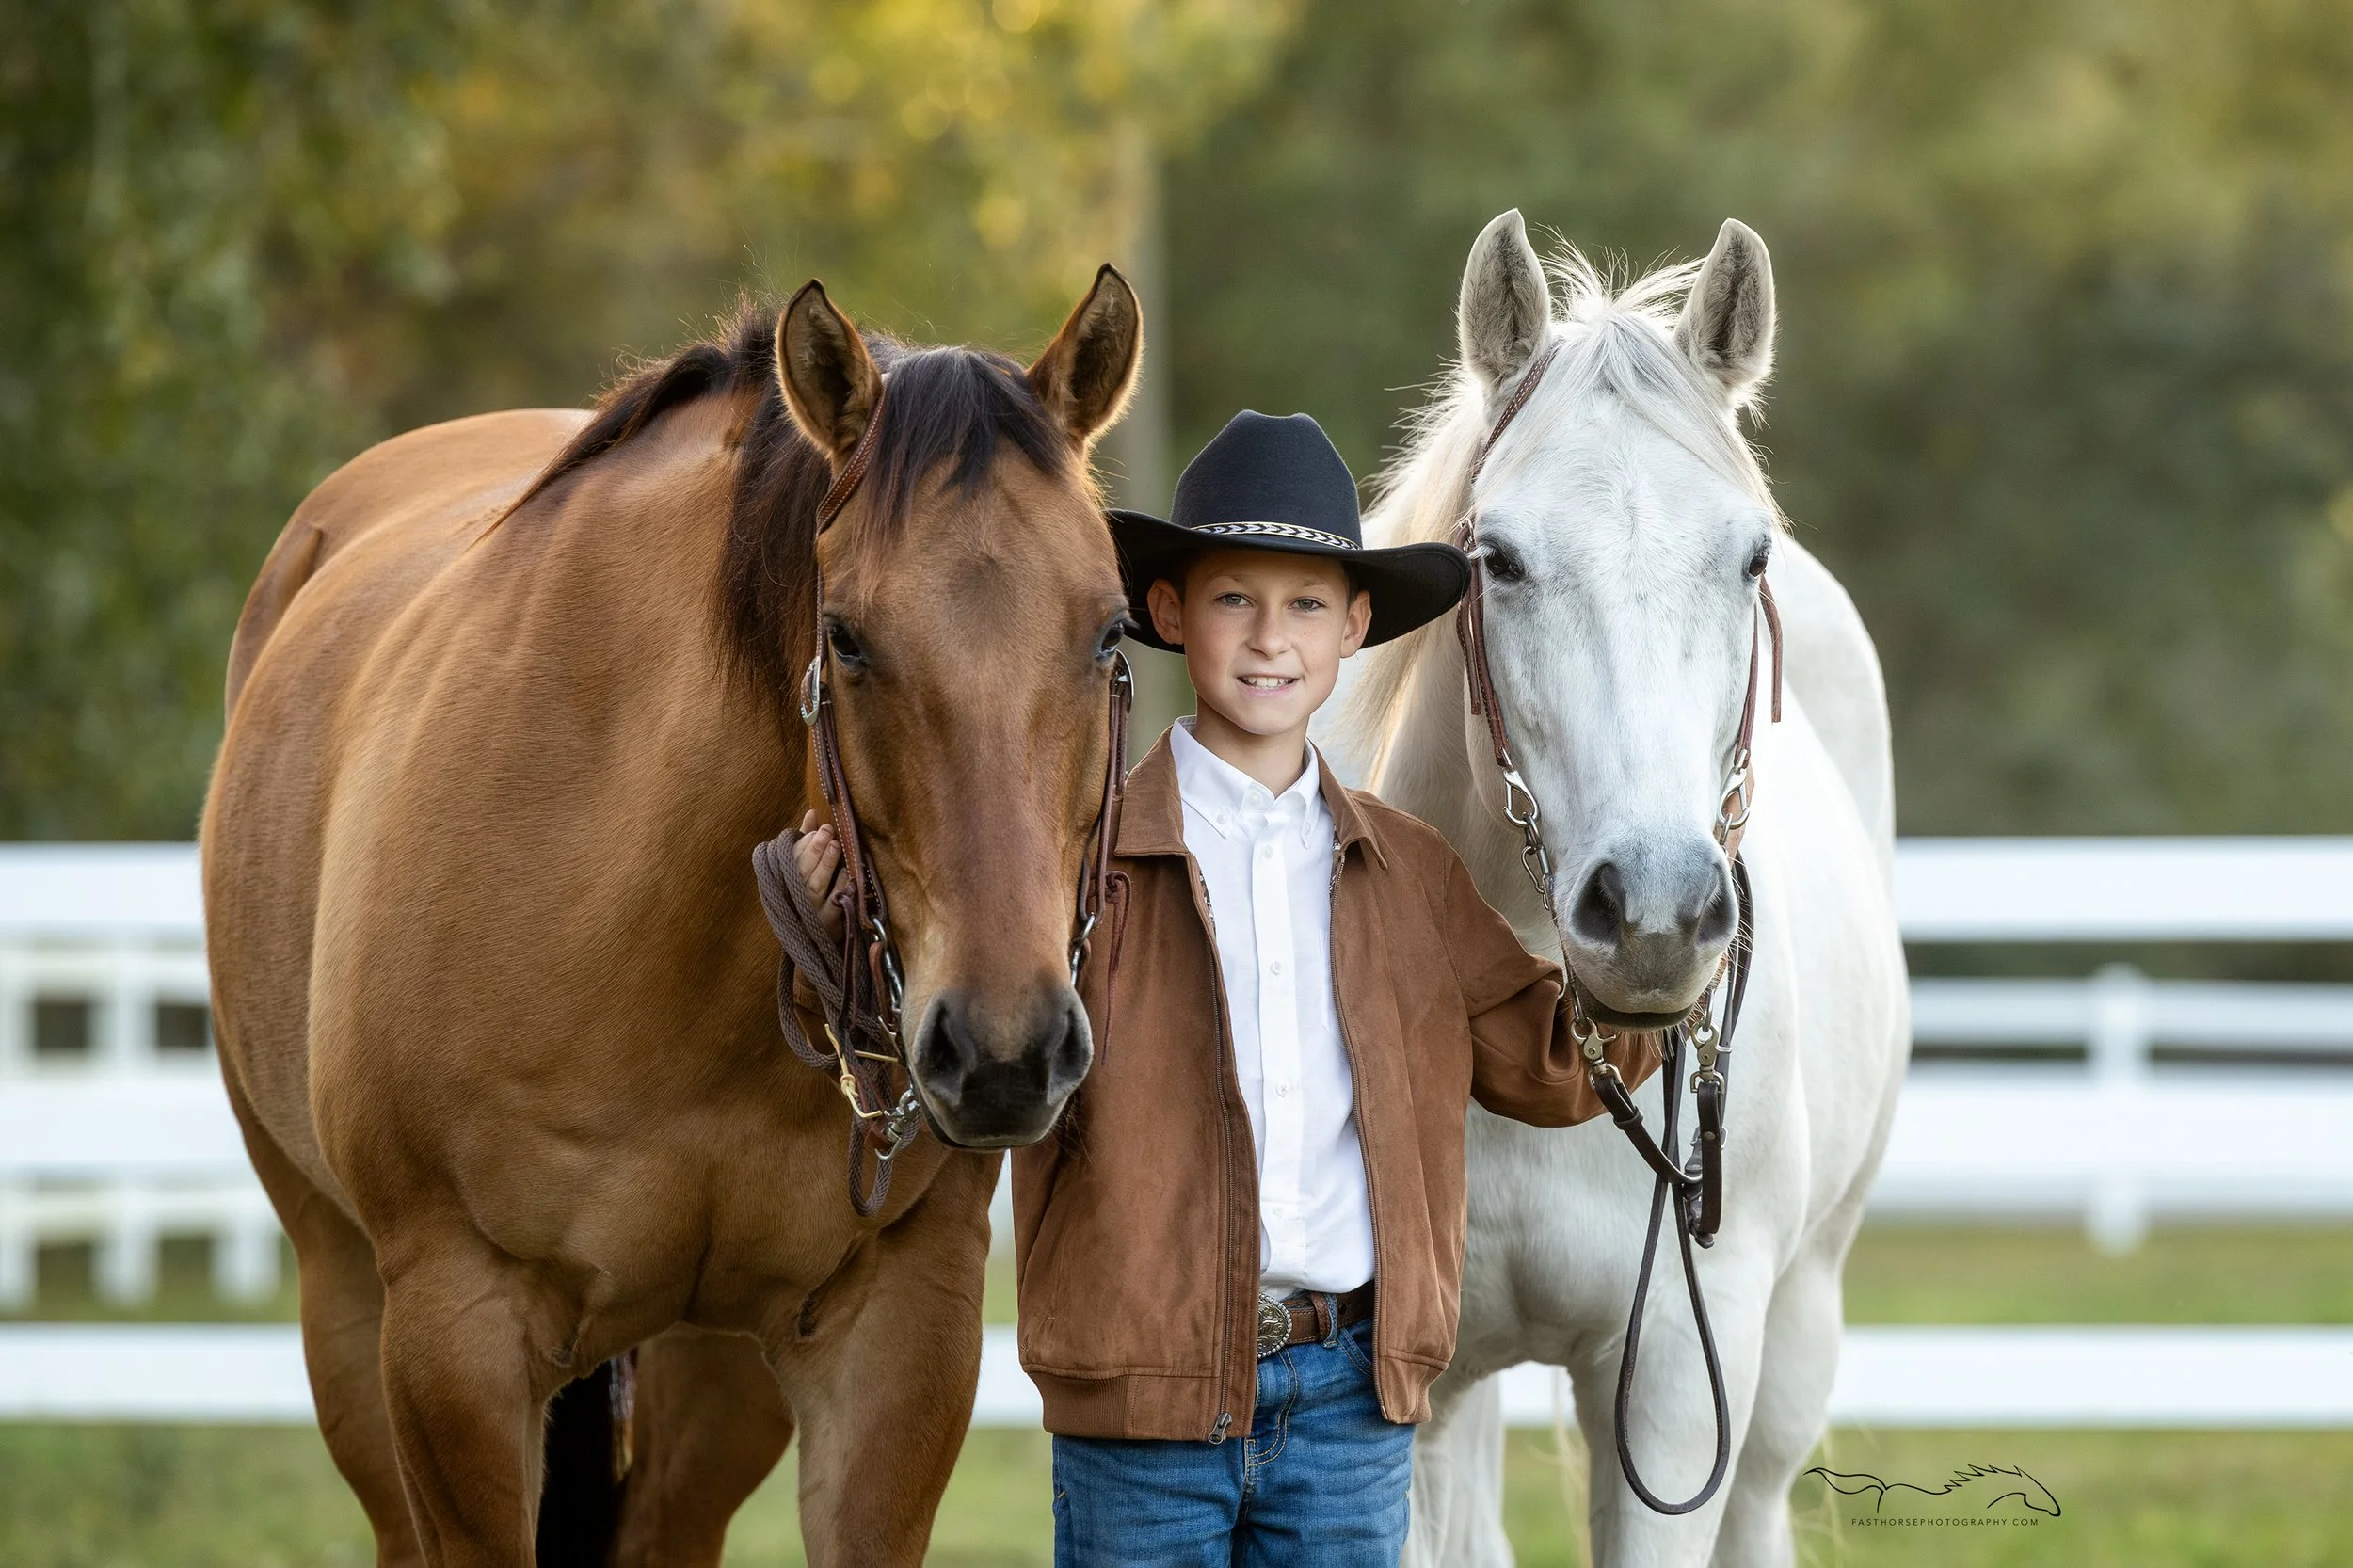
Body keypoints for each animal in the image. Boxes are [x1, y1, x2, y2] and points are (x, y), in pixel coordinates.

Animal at [202, 268, 1143, 1568]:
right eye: (846, 637)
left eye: (1108, 630)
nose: (1005, 1050)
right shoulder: (453, 1334)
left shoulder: (901, 1330)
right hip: (347, 1314)